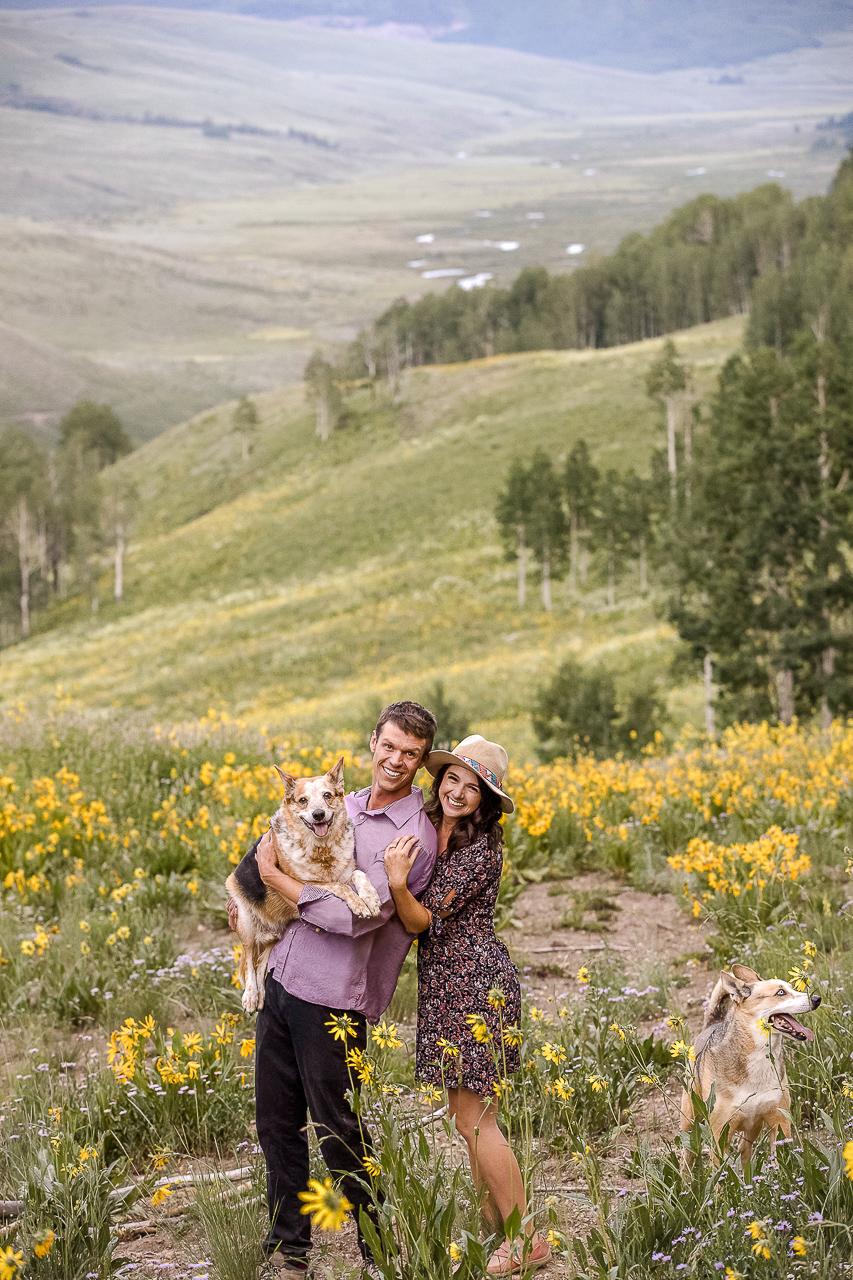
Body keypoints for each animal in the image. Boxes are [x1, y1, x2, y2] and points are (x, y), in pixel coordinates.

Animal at [222, 752, 379, 1013]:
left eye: (327, 795)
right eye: (303, 800)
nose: (318, 814)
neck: (322, 851)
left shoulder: (347, 872)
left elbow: (359, 875)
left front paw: (371, 898)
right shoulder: (303, 884)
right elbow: (340, 886)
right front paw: (358, 904)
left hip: (275, 933)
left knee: (260, 960)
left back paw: (261, 995)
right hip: (245, 921)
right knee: (250, 957)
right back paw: (251, 996)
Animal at [676, 962, 819, 1172]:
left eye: (792, 987)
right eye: (781, 992)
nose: (817, 999)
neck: (758, 1055)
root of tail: (712, 1023)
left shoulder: (780, 1119)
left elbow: (781, 1157)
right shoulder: (719, 1133)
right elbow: (721, 1172)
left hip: (753, 1125)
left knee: (744, 1148)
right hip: (690, 1118)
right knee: (687, 1156)